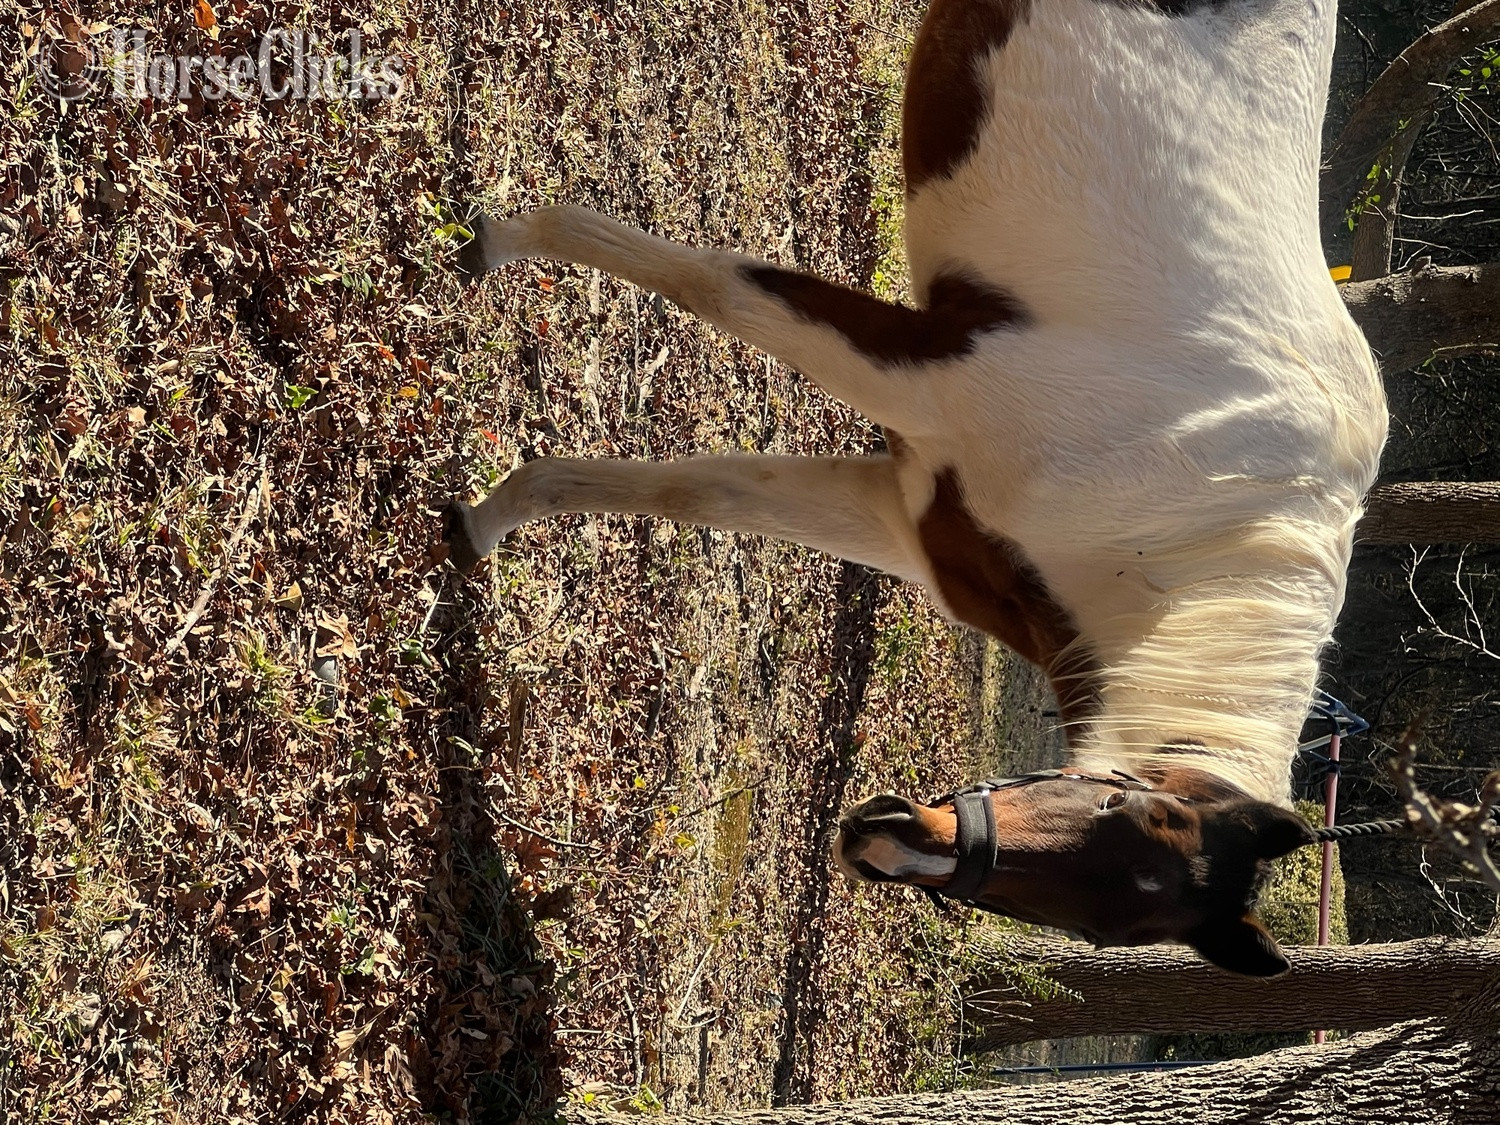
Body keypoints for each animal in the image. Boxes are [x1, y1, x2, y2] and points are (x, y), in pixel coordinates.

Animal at [448, 0, 1388, 976]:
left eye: (1105, 927)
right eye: (1115, 800)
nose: (883, 837)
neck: (1179, 515)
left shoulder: (915, 519)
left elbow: (702, 493)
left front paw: (480, 524)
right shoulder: (916, 374)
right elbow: (709, 284)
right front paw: (493, 241)